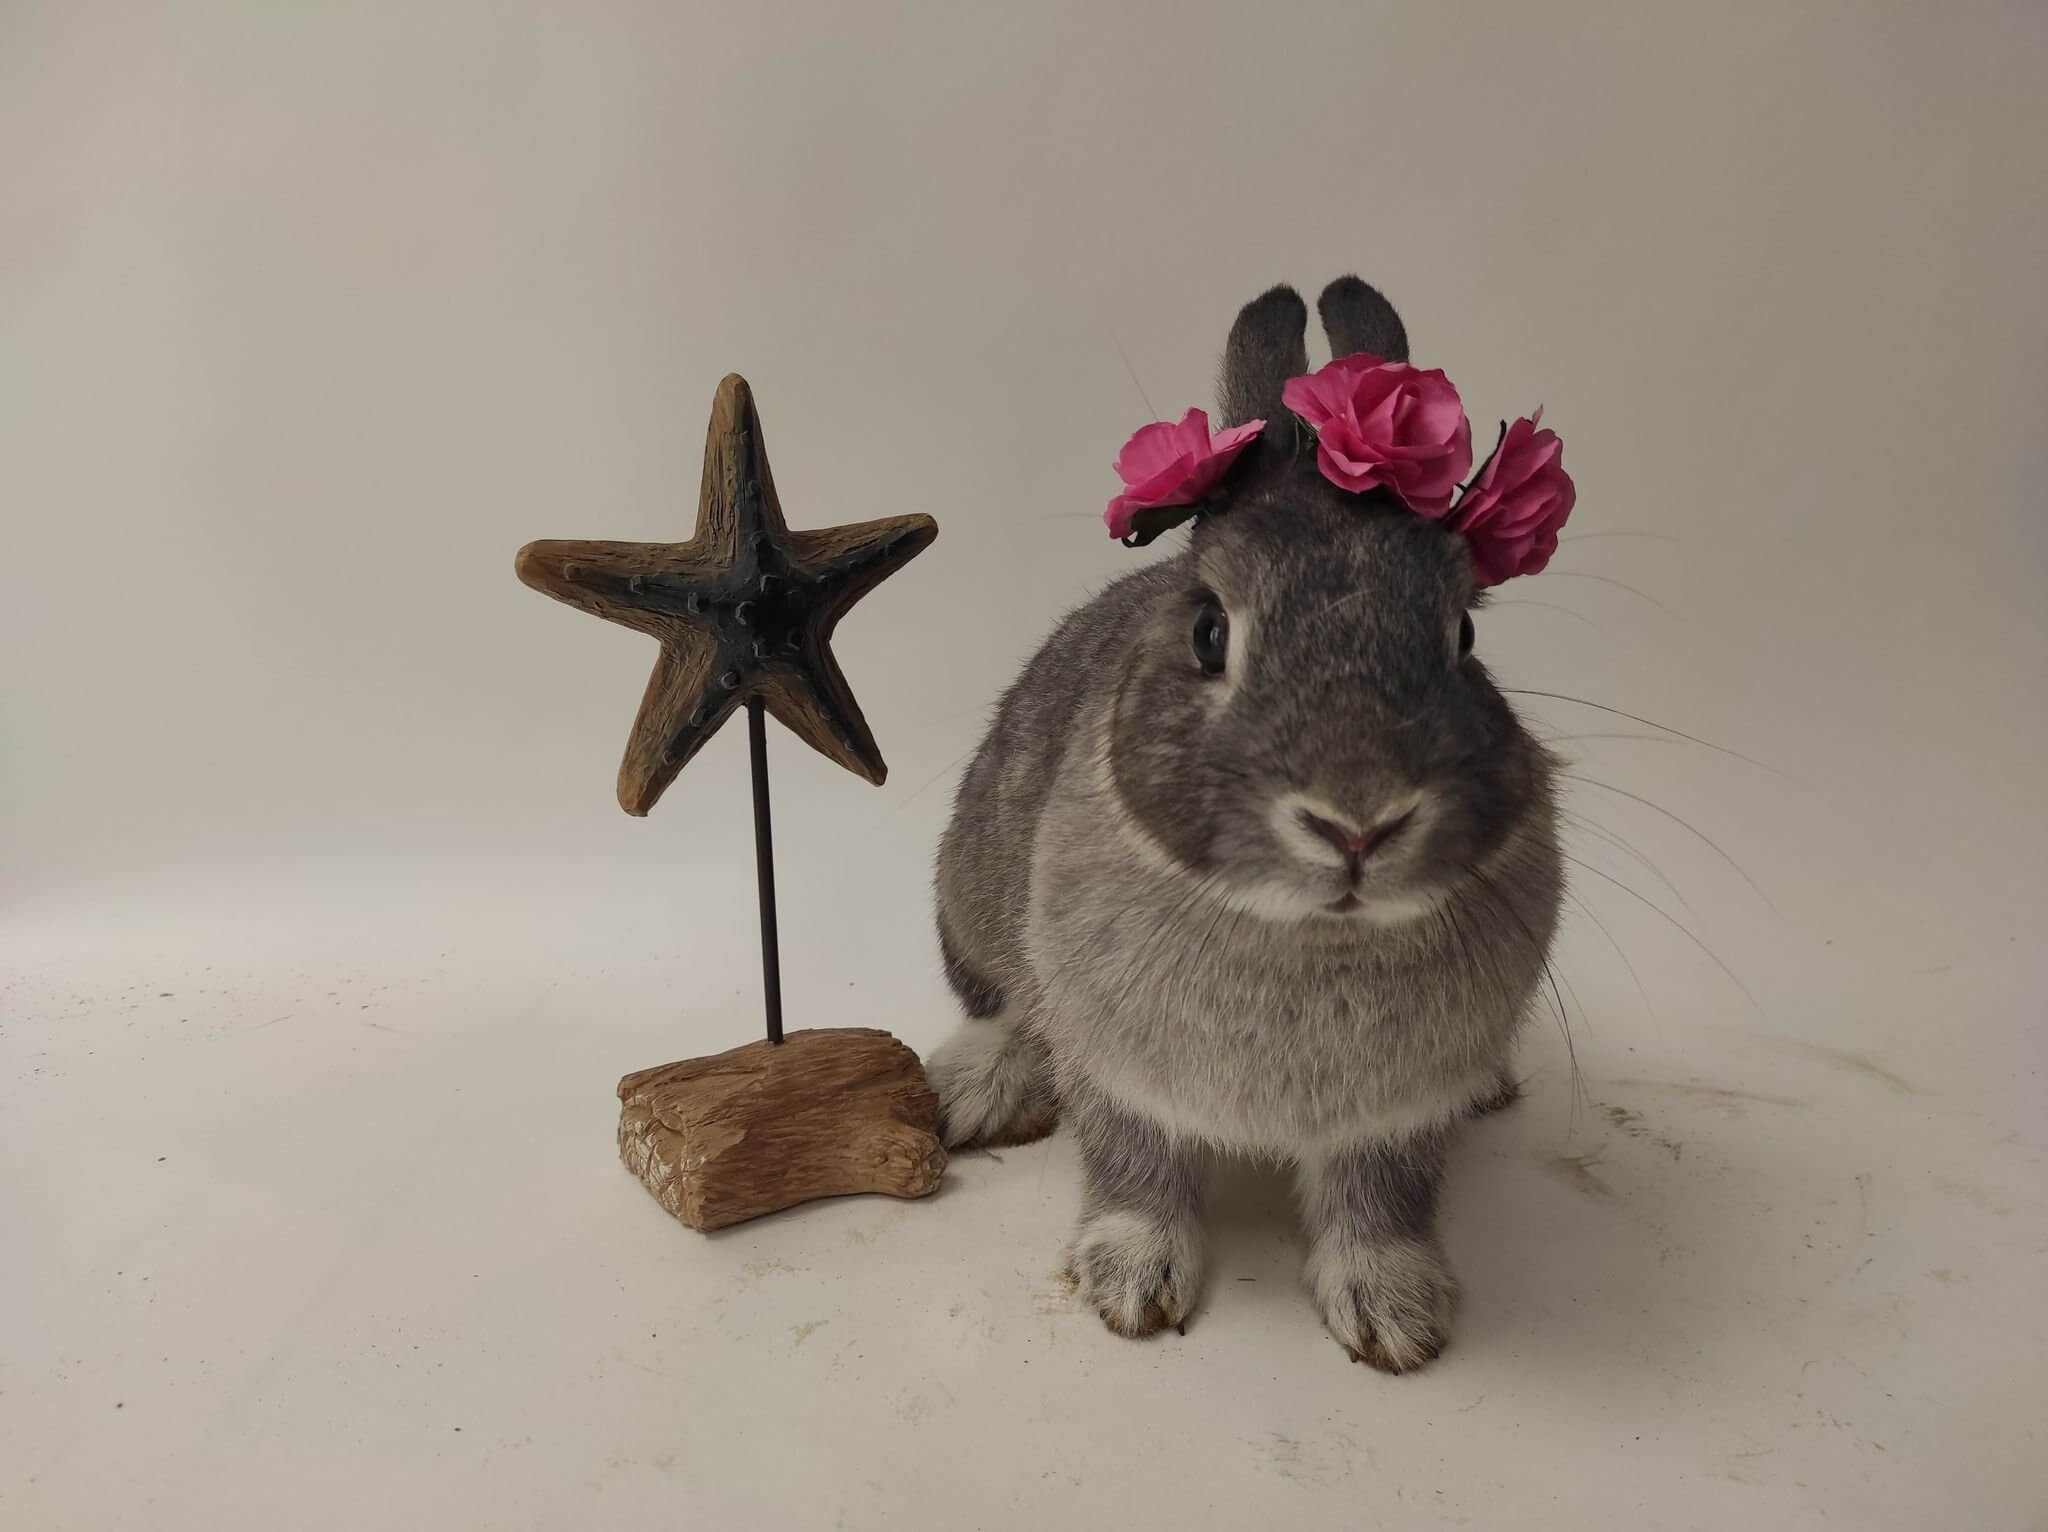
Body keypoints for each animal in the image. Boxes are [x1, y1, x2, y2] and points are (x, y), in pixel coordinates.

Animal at [929, 278, 1564, 1376]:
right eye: (1209, 630)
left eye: (1463, 634)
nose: (1356, 820)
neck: (1310, 934)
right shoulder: (1117, 1078)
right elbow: (1133, 1168)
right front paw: (1130, 1283)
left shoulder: (1393, 1119)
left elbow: (1381, 1200)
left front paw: (1394, 1315)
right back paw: (977, 1088)